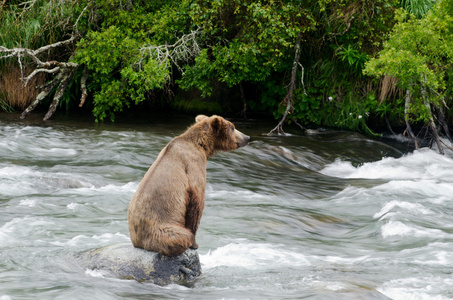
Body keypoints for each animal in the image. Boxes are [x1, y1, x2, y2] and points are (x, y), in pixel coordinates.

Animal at [126, 113, 251, 256]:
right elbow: (196, 203)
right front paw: (195, 244)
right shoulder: (193, 167)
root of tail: (138, 242)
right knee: (181, 236)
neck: (202, 146)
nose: (247, 137)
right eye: (233, 127)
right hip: (161, 230)